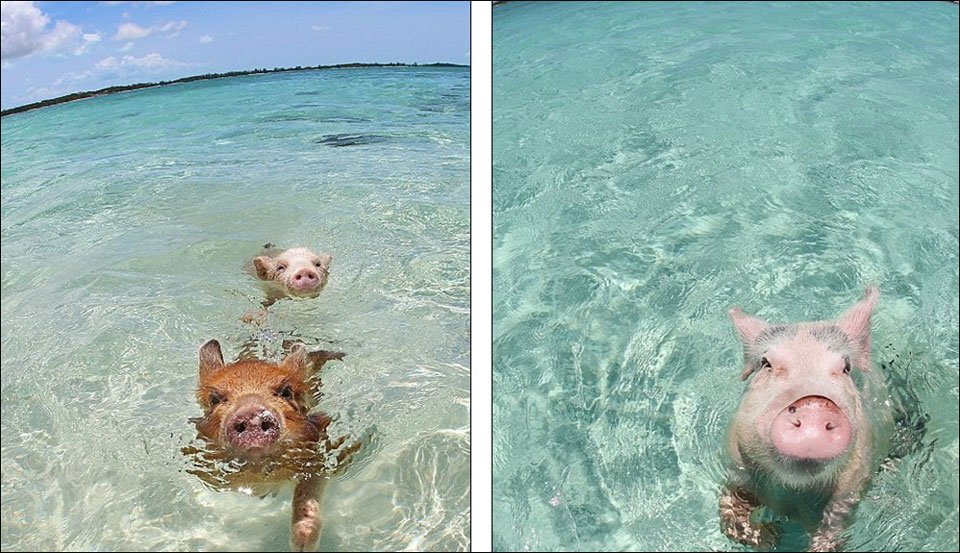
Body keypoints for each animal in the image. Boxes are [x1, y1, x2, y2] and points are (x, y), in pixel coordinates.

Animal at [184, 340, 353, 551]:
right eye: (214, 399)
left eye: (286, 392)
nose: (251, 413)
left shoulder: (323, 456)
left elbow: (307, 493)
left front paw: (302, 545)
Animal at [719, 286, 890, 552]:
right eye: (766, 364)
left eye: (846, 367)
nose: (814, 404)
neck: (794, 493)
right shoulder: (733, 461)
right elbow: (731, 510)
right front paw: (772, 537)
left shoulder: (853, 486)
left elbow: (833, 528)